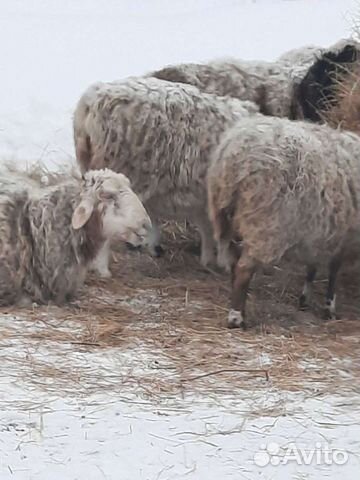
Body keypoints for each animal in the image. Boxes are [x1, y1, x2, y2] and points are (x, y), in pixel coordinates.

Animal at [207, 115, 360, 330]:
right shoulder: (345, 235)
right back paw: (236, 318)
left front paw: (305, 299)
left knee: (234, 264)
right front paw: (329, 308)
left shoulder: (320, 232)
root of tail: (235, 156)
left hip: (229, 218)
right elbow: (333, 270)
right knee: (243, 268)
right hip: (266, 223)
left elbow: (313, 266)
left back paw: (240, 310)